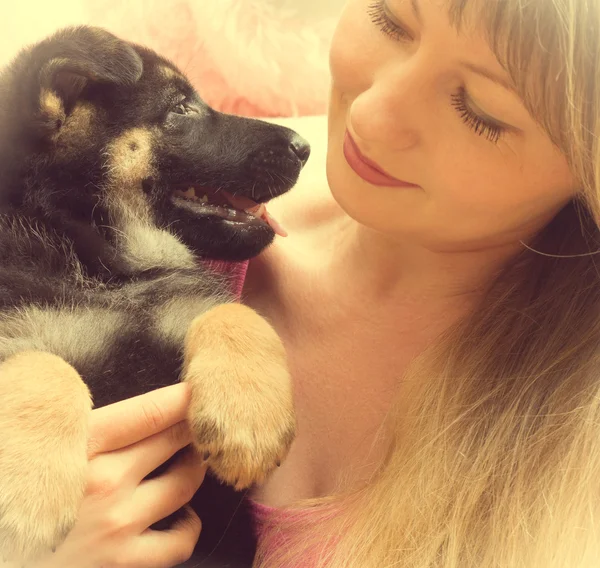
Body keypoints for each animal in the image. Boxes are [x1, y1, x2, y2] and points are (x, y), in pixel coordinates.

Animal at [0, 25, 308, 564]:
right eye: (181, 108)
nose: (305, 144)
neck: (105, 266)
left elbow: (232, 313)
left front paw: (250, 426)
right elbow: (37, 360)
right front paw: (28, 497)